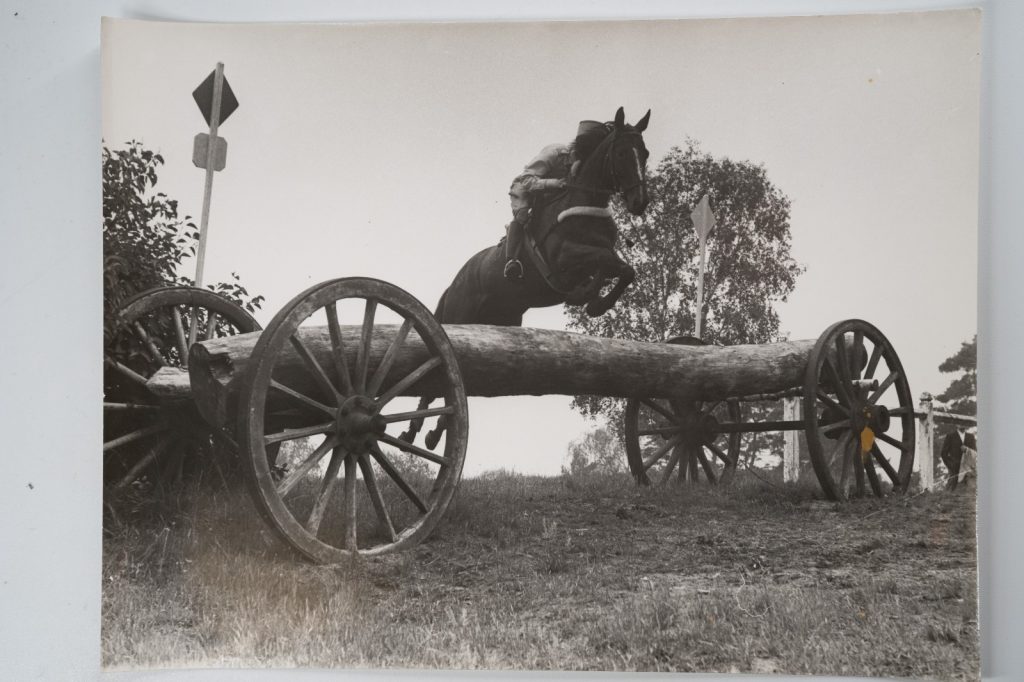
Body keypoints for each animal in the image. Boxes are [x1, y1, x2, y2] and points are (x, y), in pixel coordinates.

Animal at [401, 107, 652, 449]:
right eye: (622, 152)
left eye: (645, 153)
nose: (640, 202)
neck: (585, 202)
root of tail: (456, 281)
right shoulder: (566, 257)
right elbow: (609, 263)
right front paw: (591, 299)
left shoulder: (597, 255)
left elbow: (622, 269)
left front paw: (592, 300)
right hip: (459, 315)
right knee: (439, 367)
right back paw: (412, 430)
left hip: (499, 322)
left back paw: (434, 431)